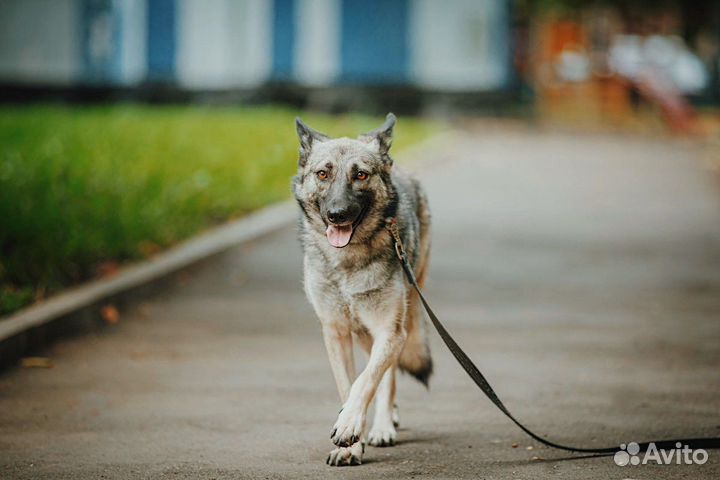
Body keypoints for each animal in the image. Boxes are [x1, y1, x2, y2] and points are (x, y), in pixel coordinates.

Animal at [292, 112, 434, 464]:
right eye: (323, 173)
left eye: (360, 175)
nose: (337, 215)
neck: (347, 263)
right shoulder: (337, 333)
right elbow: (348, 385)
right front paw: (350, 445)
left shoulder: (390, 331)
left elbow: (367, 380)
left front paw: (350, 426)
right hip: (365, 334)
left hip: (402, 317)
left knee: (387, 375)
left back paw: (383, 426)